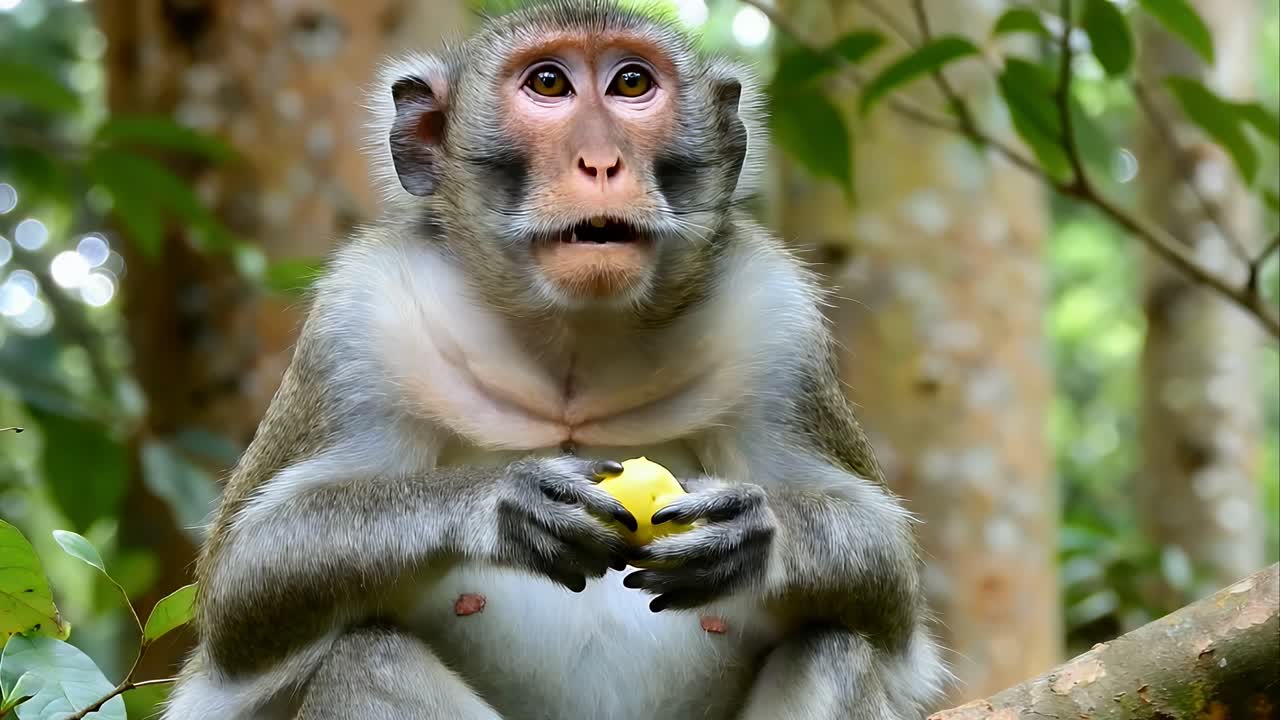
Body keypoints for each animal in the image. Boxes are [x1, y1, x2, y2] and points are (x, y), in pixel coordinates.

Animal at [161, 2, 950, 719]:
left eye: (632, 84)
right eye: (548, 83)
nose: (601, 162)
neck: (575, 346)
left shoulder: (776, 321)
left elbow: (889, 590)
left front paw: (753, 533)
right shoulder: (358, 323)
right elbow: (242, 587)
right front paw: (503, 502)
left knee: (833, 646)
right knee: (368, 657)